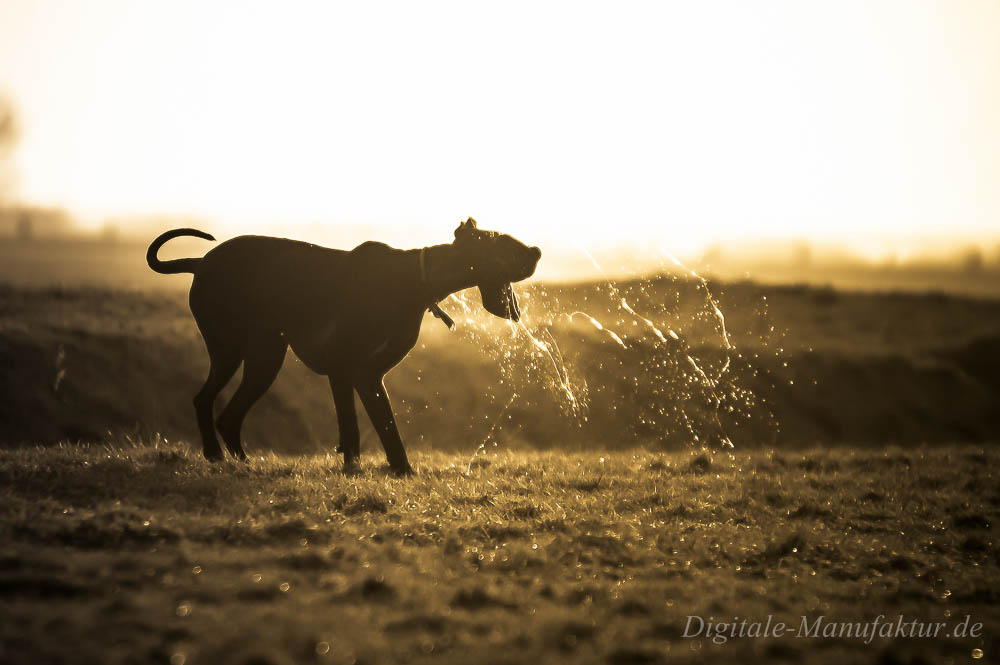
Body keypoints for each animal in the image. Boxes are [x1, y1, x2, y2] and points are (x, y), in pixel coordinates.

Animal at [143, 218, 540, 472]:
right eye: (503, 242)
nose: (536, 250)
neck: (416, 278)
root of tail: (201, 262)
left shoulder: (356, 374)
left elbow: (362, 427)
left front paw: (367, 468)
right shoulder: (355, 371)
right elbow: (375, 426)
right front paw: (393, 470)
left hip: (263, 357)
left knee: (228, 414)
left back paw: (239, 462)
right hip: (237, 352)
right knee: (205, 400)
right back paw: (216, 455)